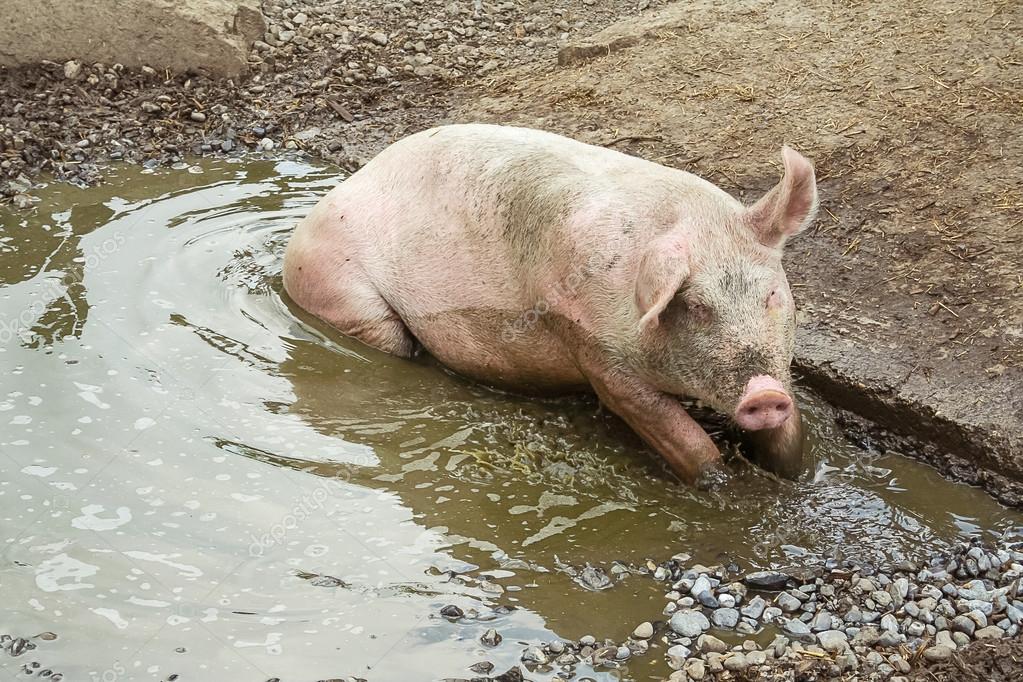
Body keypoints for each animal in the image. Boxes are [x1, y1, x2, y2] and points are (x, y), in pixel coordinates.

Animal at [283, 124, 817, 485]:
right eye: (698, 306)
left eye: (772, 295)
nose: (764, 394)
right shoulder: (596, 352)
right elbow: (677, 436)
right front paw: (720, 486)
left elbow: (790, 437)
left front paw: (794, 473)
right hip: (342, 290)